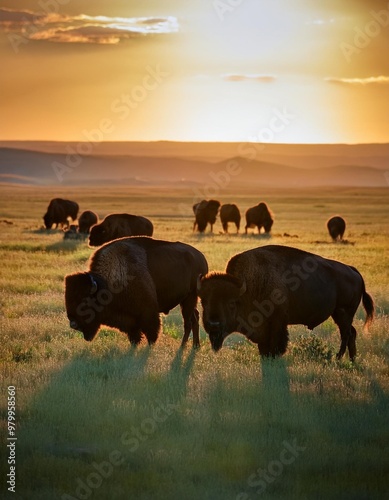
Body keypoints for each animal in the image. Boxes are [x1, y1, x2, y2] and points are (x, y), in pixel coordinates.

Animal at [65, 235, 208, 346]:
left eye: (85, 302)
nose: (73, 324)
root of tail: (201, 257)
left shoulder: (149, 315)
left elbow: (151, 334)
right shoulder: (131, 322)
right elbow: (134, 337)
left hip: (190, 297)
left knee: (188, 322)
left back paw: (183, 346)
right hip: (187, 300)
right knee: (195, 317)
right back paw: (195, 346)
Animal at [197, 245, 372, 360]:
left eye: (231, 303)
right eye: (203, 301)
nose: (213, 324)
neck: (248, 288)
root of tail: (353, 271)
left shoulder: (277, 321)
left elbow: (276, 343)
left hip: (344, 312)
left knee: (346, 333)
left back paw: (338, 357)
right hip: (338, 314)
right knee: (351, 333)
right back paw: (351, 359)